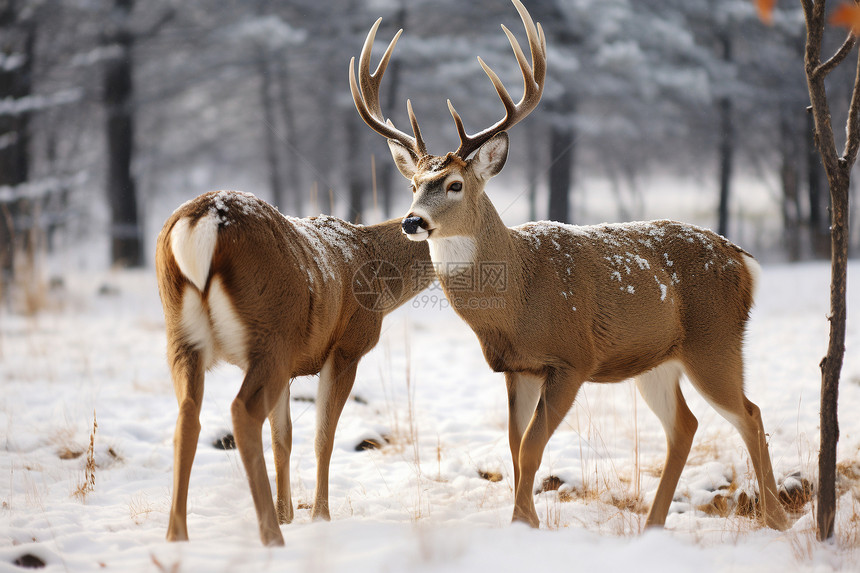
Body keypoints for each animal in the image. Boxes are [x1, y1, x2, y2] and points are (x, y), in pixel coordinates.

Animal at [156, 190, 430, 544]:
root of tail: (202, 221)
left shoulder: (289, 370)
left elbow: (281, 439)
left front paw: (286, 514)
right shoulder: (347, 348)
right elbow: (323, 436)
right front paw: (319, 516)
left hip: (183, 338)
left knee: (188, 415)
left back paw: (177, 536)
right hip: (270, 335)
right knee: (241, 412)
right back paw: (272, 536)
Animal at [350, 0, 788, 528]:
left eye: (454, 184)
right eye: (413, 183)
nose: (412, 220)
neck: (514, 302)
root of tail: (744, 260)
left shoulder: (572, 358)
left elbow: (533, 446)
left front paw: (525, 524)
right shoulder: (516, 368)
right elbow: (516, 448)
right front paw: (525, 520)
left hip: (715, 340)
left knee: (750, 413)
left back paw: (777, 519)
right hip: (657, 358)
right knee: (686, 424)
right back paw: (652, 526)